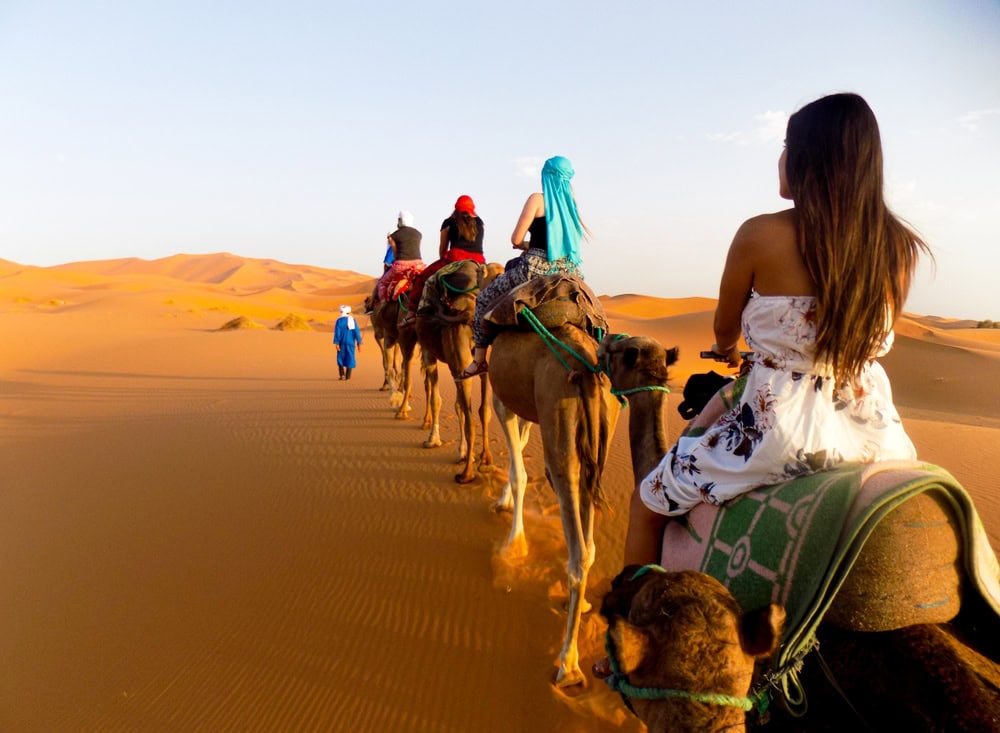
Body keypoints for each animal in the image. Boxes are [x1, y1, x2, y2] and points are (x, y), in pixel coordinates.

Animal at [414, 260, 504, 484]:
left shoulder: (429, 355)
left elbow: (437, 399)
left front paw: (433, 440)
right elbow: (464, 407)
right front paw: (463, 453)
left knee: (470, 417)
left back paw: (466, 474)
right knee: (482, 410)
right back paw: (486, 460)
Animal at [488, 322, 620, 688]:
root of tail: (588, 370)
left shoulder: (502, 400)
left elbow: (519, 471)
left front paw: (513, 546)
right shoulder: (527, 406)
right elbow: (520, 443)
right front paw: (503, 503)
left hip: (562, 439)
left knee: (577, 553)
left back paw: (568, 665)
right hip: (596, 444)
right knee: (589, 545)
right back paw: (584, 605)